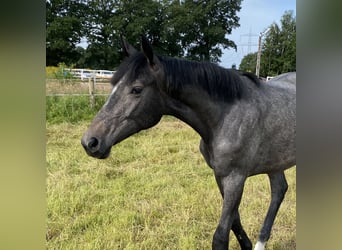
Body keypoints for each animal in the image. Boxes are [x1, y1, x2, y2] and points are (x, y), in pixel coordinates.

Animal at [81, 35, 296, 250]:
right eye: (113, 85)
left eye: (136, 89)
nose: (90, 142)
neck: (225, 116)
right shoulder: (221, 176)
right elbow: (235, 221)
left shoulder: (235, 178)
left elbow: (220, 236)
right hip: (275, 162)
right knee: (279, 190)